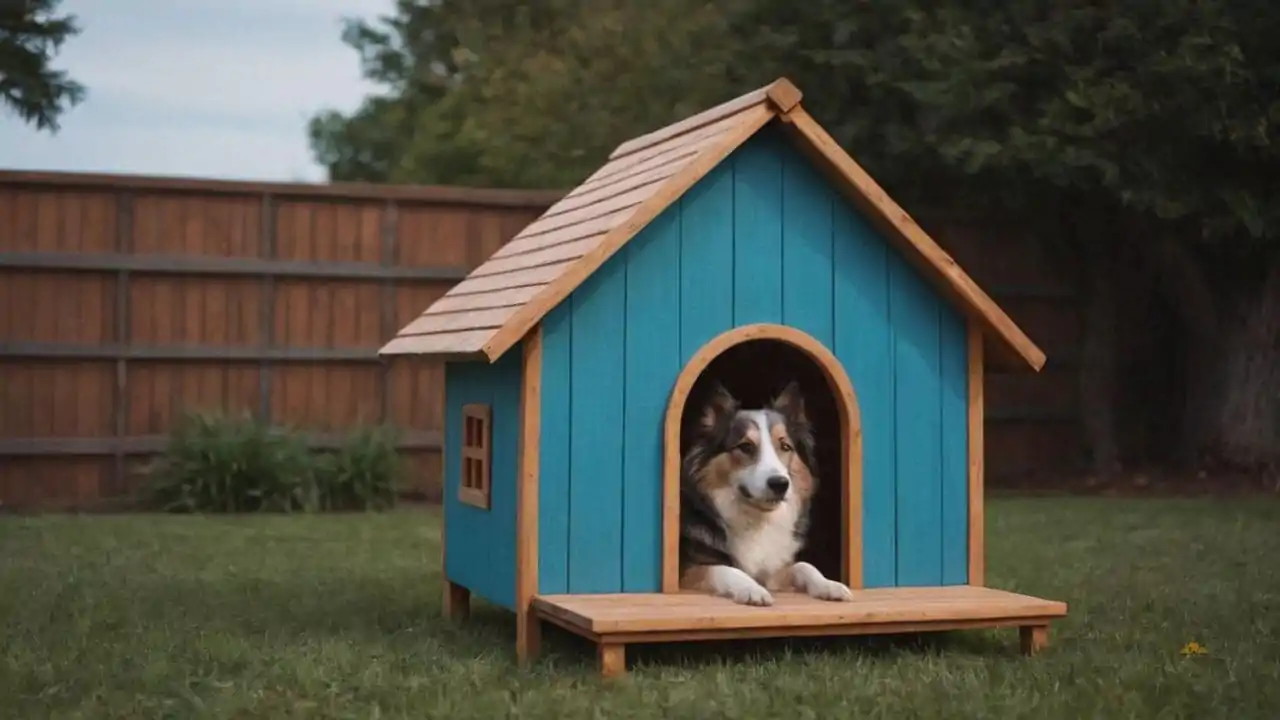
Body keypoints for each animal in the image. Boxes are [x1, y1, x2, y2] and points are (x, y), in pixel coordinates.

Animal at [675, 379, 855, 602]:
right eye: (745, 447)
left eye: (785, 446)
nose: (780, 484)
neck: (757, 518)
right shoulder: (687, 570)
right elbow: (725, 569)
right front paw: (752, 589)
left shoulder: (774, 572)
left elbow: (804, 566)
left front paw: (829, 585)